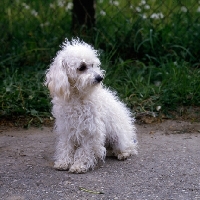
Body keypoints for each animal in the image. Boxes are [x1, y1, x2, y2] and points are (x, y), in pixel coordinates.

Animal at [45, 39, 138, 173]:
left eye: (93, 65)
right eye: (82, 67)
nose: (100, 78)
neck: (77, 97)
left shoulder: (91, 129)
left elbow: (85, 150)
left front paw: (80, 165)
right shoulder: (67, 129)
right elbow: (66, 147)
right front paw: (63, 162)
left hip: (118, 136)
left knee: (129, 146)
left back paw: (123, 153)